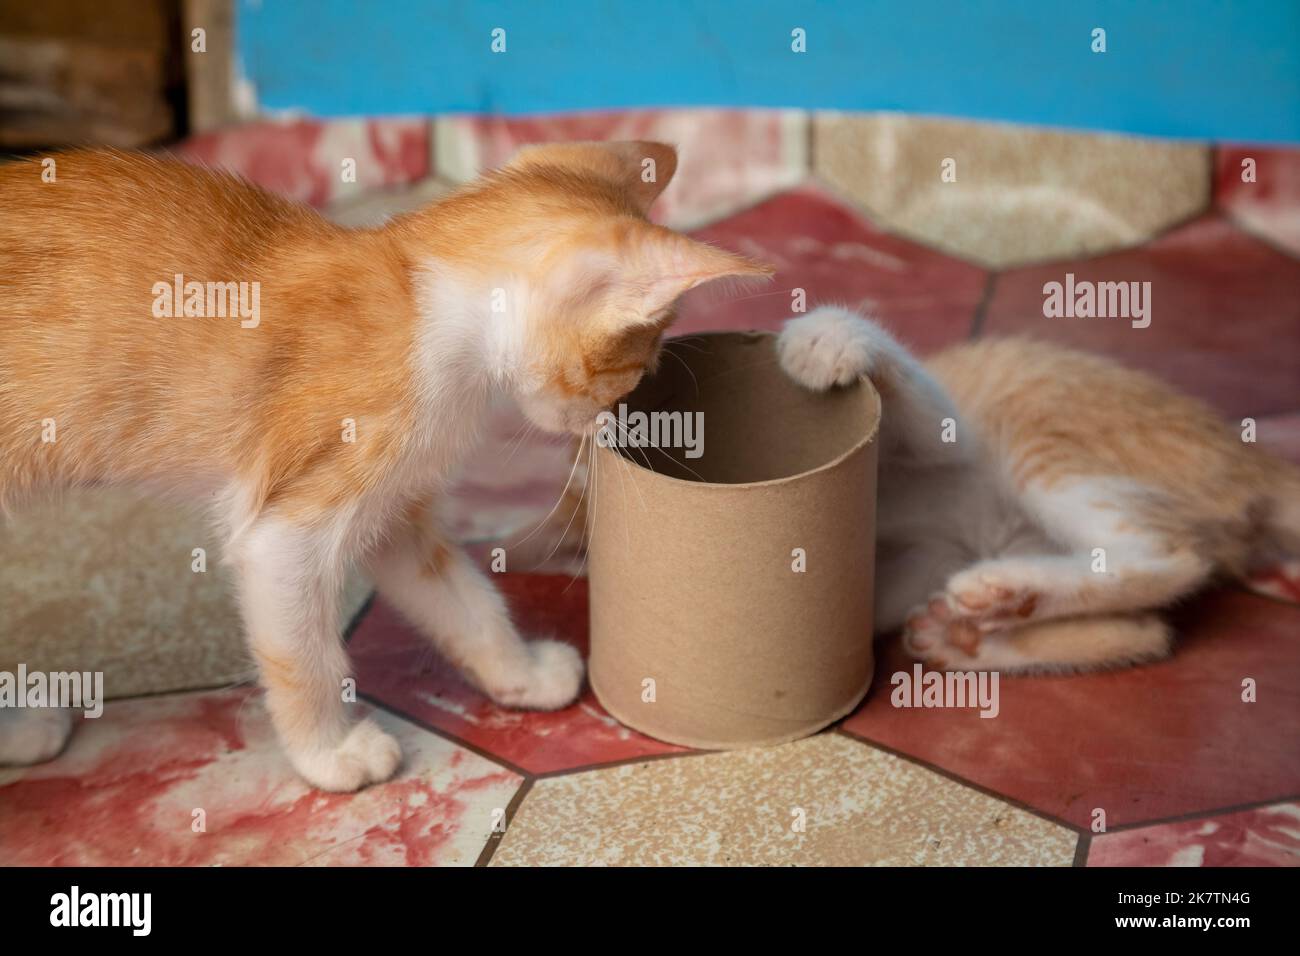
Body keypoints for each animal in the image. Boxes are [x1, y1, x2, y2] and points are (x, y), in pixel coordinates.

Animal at [0, 140, 769, 785]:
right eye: (634, 366)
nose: (618, 416)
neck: (428, 304)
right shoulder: (291, 523)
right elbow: (303, 654)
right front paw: (329, 753)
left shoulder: (395, 507)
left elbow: (463, 600)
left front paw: (519, 673)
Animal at [774, 306, 1294, 671]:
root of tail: (1253, 458)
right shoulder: (914, 561)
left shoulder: (947, 436)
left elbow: (921, 405)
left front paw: (825, 336)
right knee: (1150, 630)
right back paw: (970, 635)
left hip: (1038, 433)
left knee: (1170, 558)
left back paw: (1004, 593)